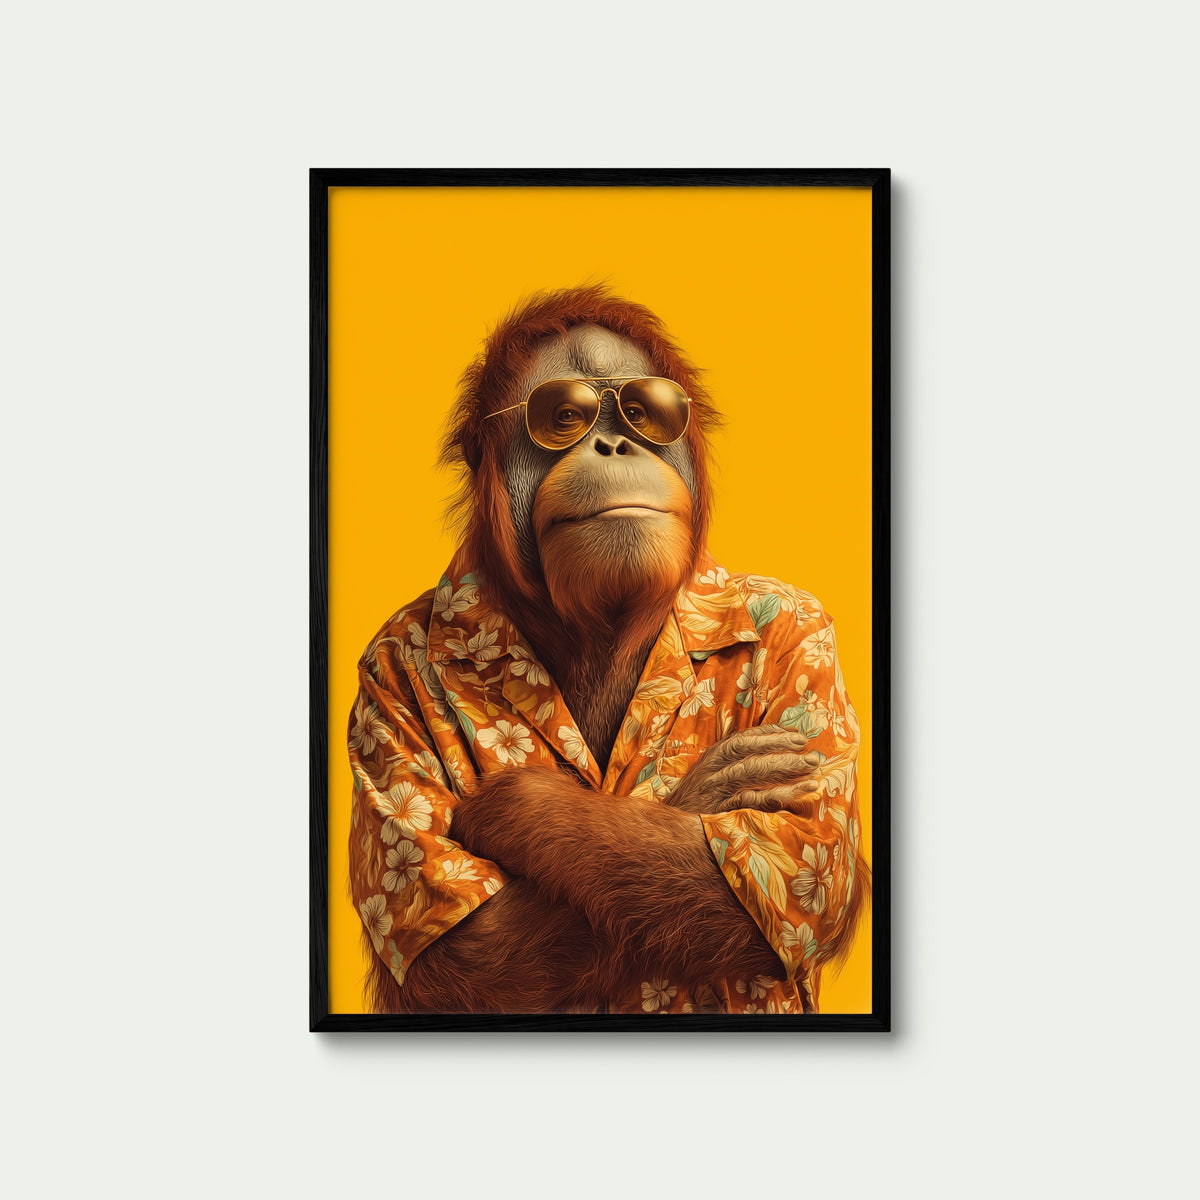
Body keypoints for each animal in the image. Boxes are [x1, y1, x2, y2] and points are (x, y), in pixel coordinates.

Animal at [348, 285, 869, 1015]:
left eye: (644, 413)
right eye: (564, 416)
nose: (615, 442)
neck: (601, 627)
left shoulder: (809, 630)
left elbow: (794, 853)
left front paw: (519, 804)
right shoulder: (381, 670)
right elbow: (471, 948)